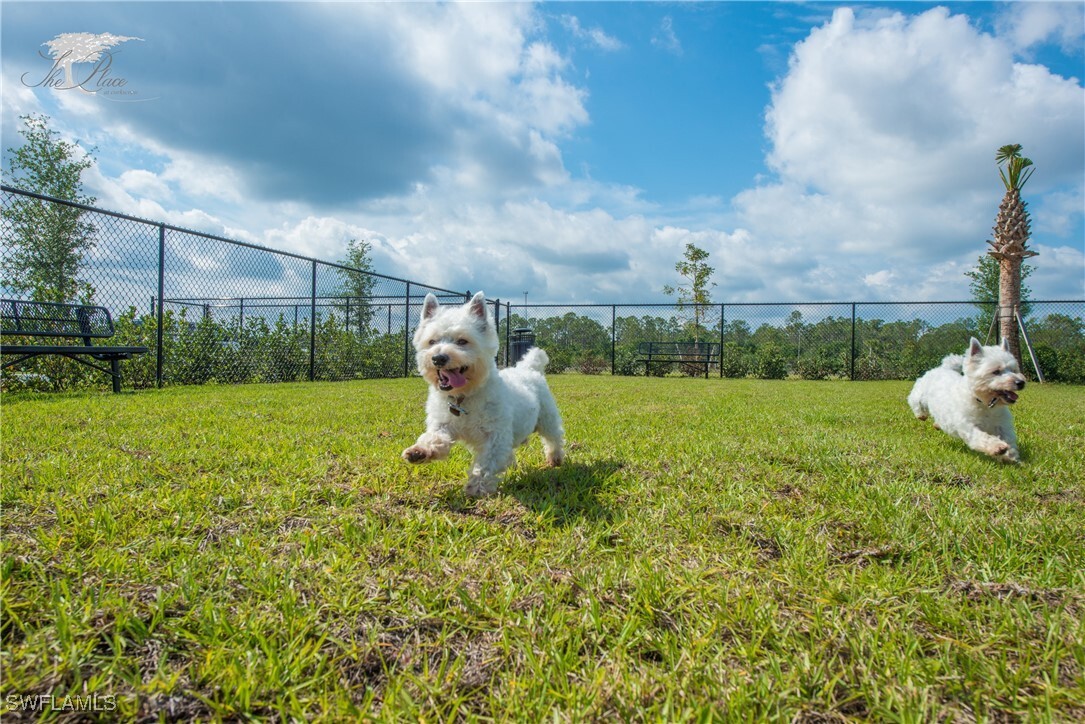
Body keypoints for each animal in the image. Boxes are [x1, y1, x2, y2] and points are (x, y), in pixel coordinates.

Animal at [401, 290, 568, 494]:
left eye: (462, 341)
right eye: (431, 341)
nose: (438, 358)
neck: (464, 396)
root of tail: (529, 367)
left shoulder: (495, 436)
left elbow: (486, 464)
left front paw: (477, 488)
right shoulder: (442, 425)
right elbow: (435, 438)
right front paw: (419, 451)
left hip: (547, 419)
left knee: (554, 438)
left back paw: (555, 458)